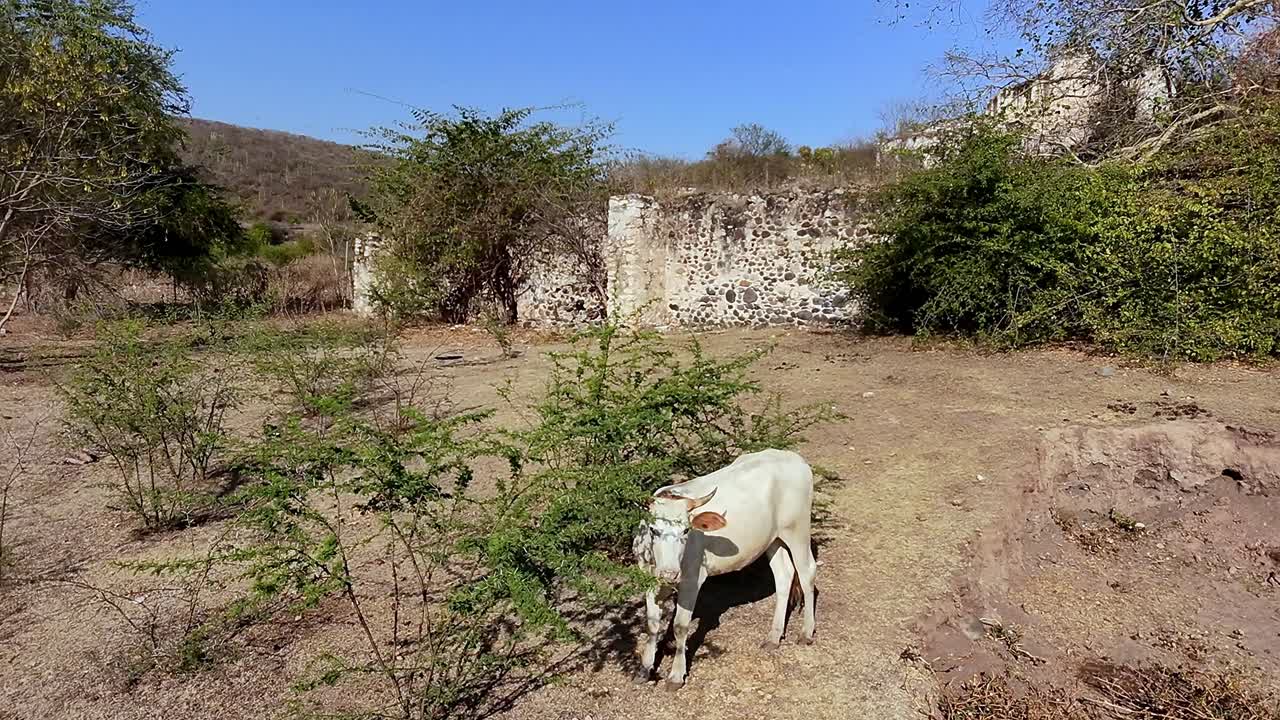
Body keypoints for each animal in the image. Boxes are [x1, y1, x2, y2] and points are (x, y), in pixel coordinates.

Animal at [631, 448, 818, 689]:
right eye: (654, 530)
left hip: (797, 529)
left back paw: (806, 632)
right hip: (772, 539)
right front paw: (645, 668)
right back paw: (774, 637)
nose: (670, 573)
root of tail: (794, 457)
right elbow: (652, 623)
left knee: (806, 573)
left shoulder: (692, 580)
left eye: (686, 530)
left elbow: (681, 626)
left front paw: (676, 675)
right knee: (784, 575)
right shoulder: (648, 578)